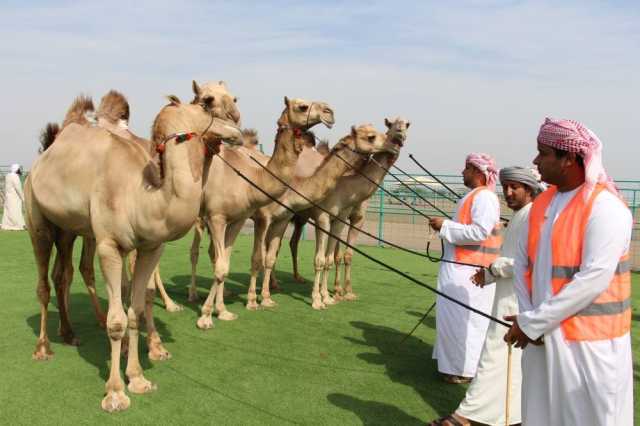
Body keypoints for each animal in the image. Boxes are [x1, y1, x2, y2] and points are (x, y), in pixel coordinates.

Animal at [25, 90, 242, 412]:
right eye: (206, 104)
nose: (237, 128)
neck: (141, 197)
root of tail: (41, 161)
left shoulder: (150, 247)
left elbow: (135, 311)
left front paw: (138, 378)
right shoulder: (109, 246)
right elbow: (116, 320)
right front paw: (115, 392)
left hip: (68, 228)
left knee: (62, 273)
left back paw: (69, 333)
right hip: (37, 218)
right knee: (43, 282)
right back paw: (43, 348)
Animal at [194, 97, 336, 330]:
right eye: (302, 106)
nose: (329, 112)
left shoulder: (276, 219)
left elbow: (267, 256)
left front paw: (264, 299)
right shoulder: (256, 218)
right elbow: (257, 258)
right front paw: (250, 302)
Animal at [248, 123, 398, 310]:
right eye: (371, 136)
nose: (393, 144)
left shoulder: (348, 219)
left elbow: (337, 256)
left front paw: (339, 293)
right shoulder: (321, 217)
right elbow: (322, 258)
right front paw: (320, 298)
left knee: (283, 245)